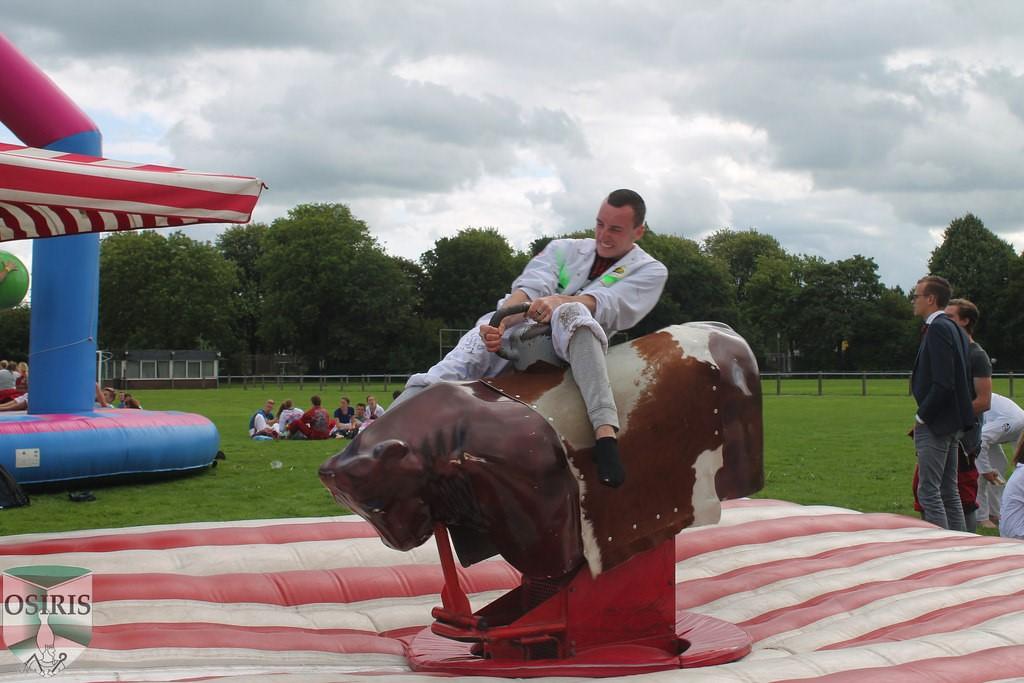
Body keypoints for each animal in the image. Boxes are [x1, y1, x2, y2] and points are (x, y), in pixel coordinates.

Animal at [317, 323, 761, 675]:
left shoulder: (535, 501)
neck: (444, 443)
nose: (398, 539)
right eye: (366, 513)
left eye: (376, 505)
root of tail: (726, 331)